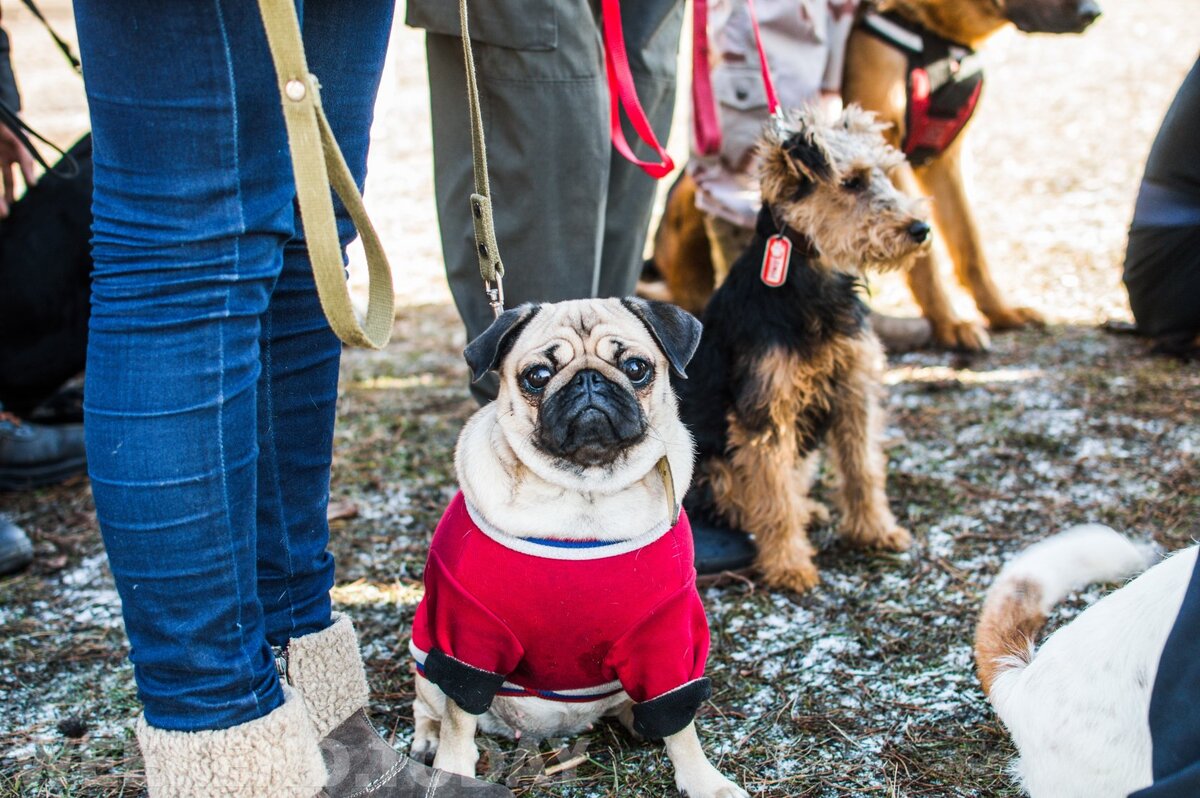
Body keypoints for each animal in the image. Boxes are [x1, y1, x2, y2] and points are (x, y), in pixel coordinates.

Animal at [676, 107, 926, 590]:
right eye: (853, 182)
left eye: (885, 174)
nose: (921, 229)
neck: (811, 283)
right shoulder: (765, 415)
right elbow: (774, 497)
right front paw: (789, 565)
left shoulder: (855, 392)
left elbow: (863, 470)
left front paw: (875, 530)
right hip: (713, 467)